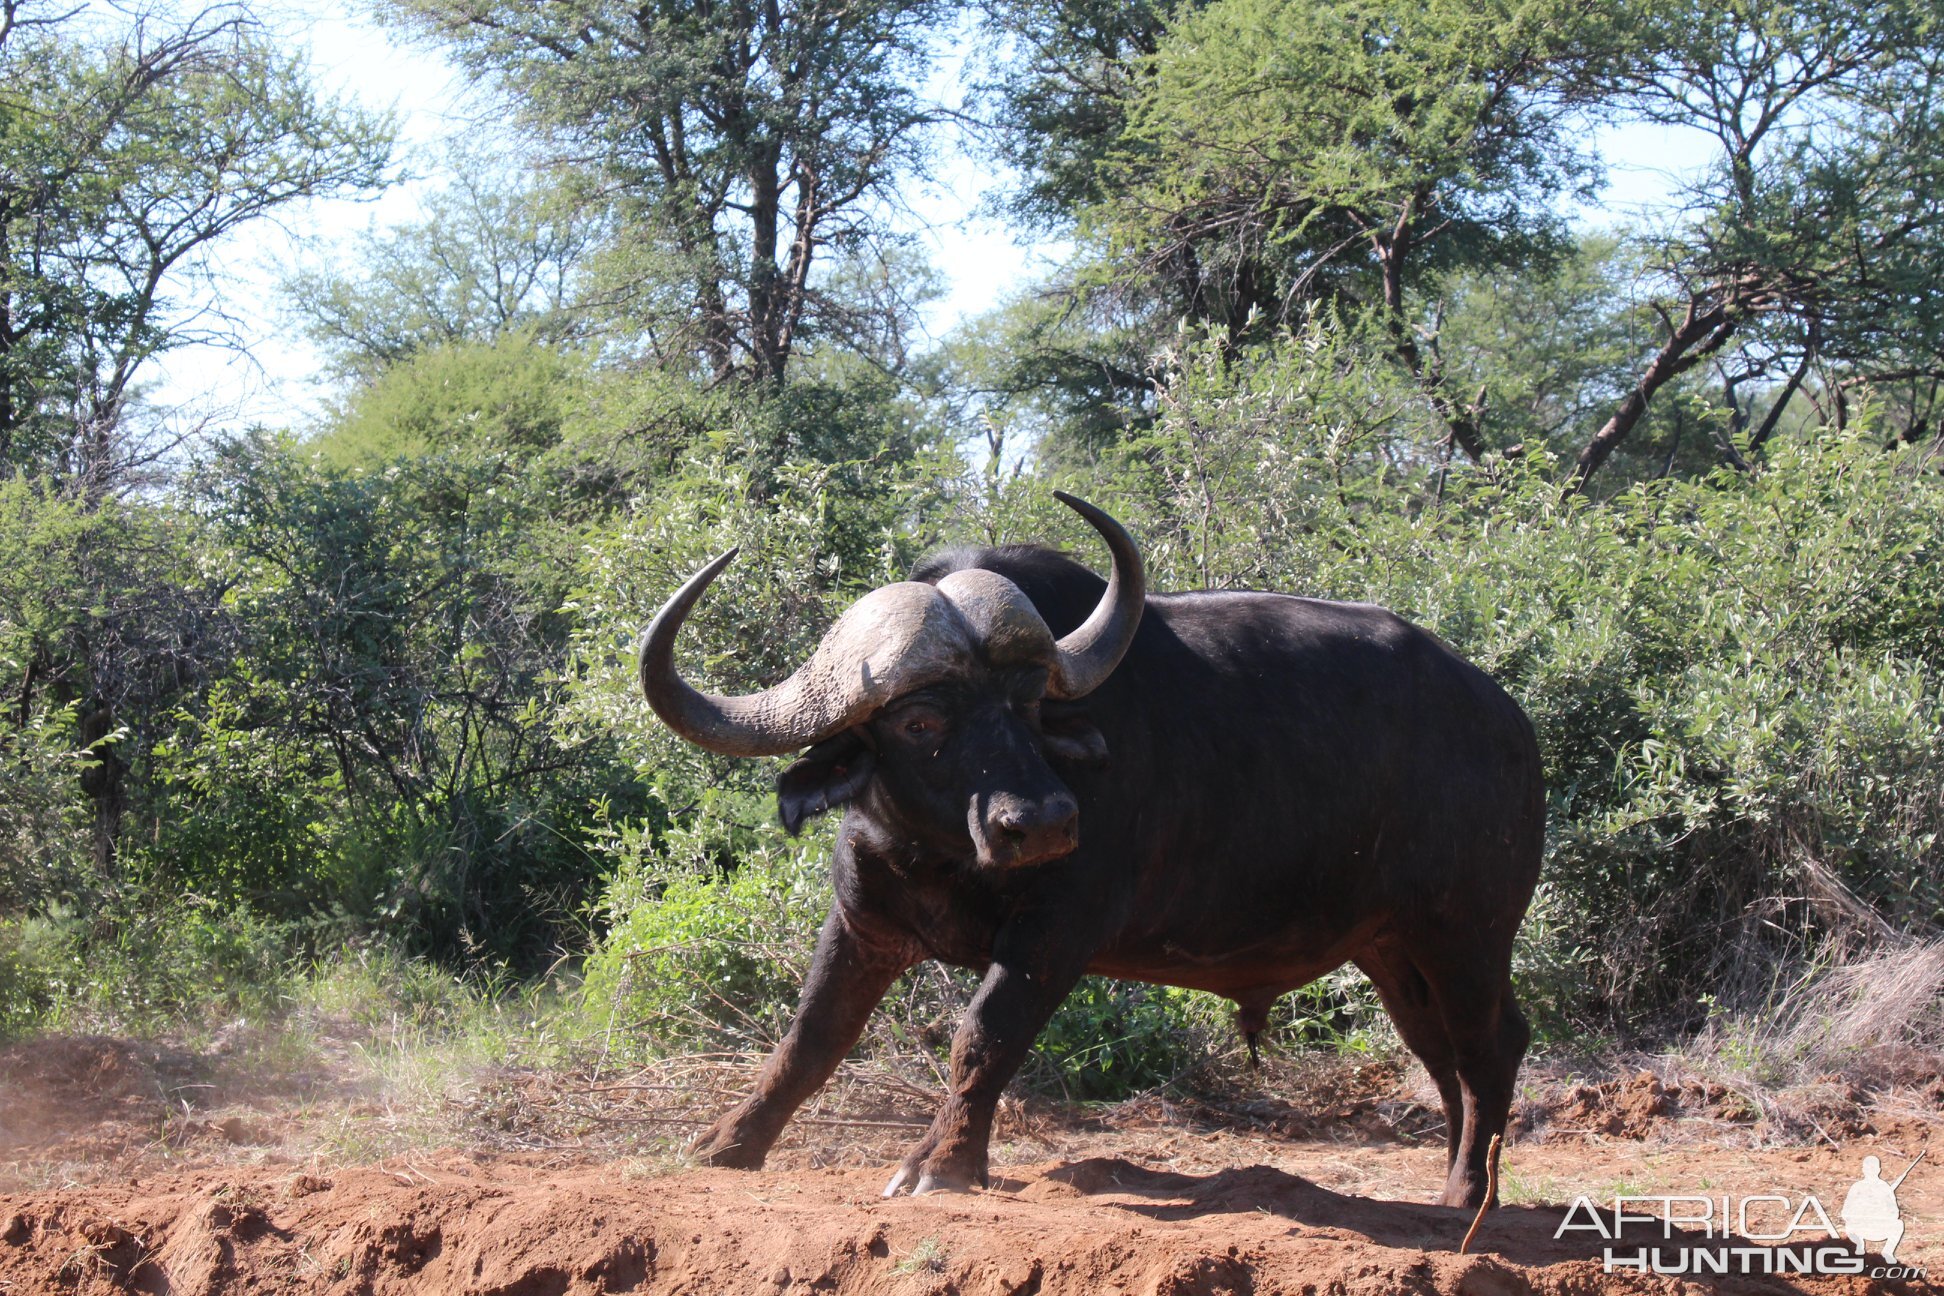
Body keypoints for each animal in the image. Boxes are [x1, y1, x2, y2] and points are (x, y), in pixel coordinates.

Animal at [645, 491, 1539, 1212]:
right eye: (920, 721)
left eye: (1030, 702)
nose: (1042, 823)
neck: (946, 856)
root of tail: (1506, 722)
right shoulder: (865, 924)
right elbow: (808, 1039)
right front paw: (727, 1143)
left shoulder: (1059, 931)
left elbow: (984, 1034)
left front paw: (943, 1163)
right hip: (1392, 949)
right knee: (1442, 1055)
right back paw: (1458, 1177)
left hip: (1466, 934)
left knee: (1490, 1044)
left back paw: (1468, 1193)